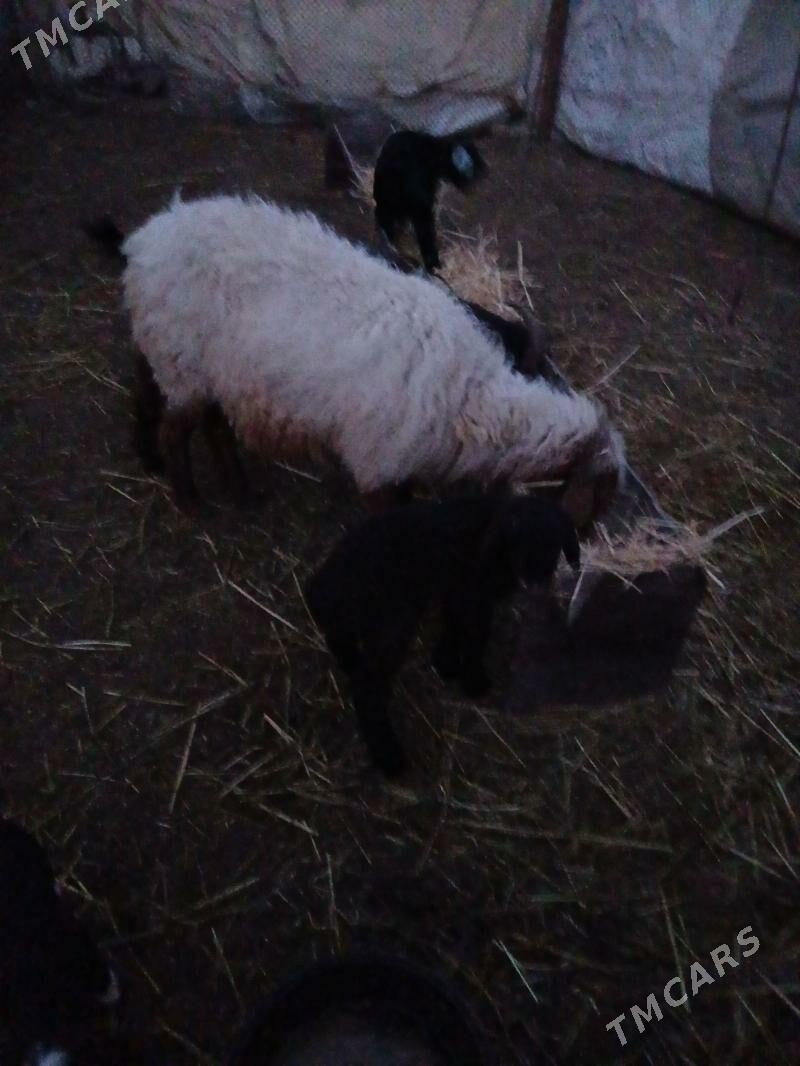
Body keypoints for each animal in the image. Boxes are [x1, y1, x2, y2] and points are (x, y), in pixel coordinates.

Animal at [89, 195, 624, 519]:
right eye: (600, 498)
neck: (476, 402)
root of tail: (145, 240)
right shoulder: (379, 464)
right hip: (185, 363)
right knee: (177, 430)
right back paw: (190, 499)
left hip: (187, 358)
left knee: (185, 412)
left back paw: (224, 483)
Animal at [304, 492, 580, 777]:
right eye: (517, 538)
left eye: (554, 542)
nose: (537, 580)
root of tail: (324, 581)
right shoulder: (474, 594)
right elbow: (476, 636)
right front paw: (475, 681)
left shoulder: (457, 590)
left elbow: (453, 625)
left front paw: (446, 664)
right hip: (391, 623)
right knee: (367, 685)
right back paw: (389, 756)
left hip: (356, 615)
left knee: (339, 635)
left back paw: (348, 661)